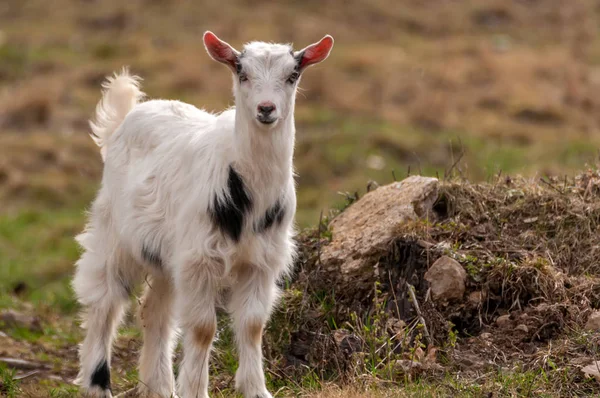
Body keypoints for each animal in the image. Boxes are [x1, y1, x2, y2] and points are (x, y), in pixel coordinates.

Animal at [72, 31, 336, 398]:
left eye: (292, 75)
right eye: (241, 72)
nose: (266, 109)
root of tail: (126, 119)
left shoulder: (260, 262)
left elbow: (253, 325)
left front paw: (256, 389)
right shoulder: (199, 259)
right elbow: (202, 329)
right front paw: (196, 390)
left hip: (166, 256)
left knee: (154, 311)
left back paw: (160, 387)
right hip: (115, 233)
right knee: (104, 300)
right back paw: (98, 384)